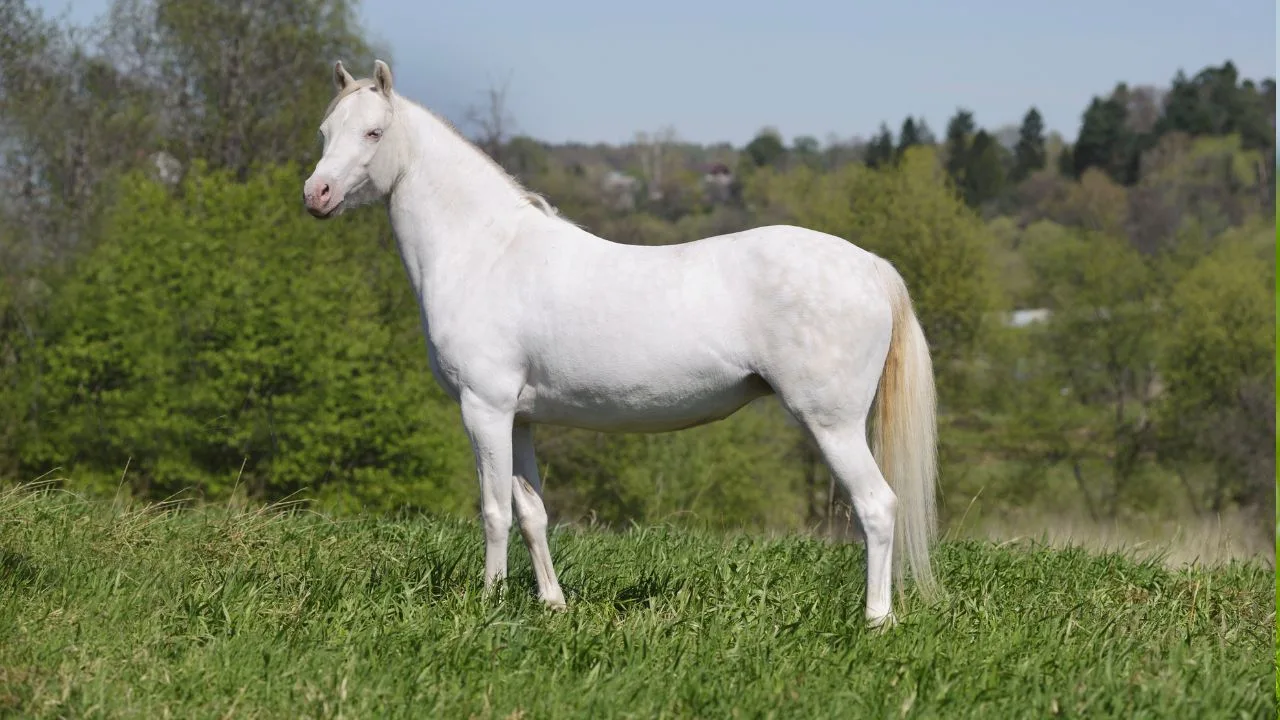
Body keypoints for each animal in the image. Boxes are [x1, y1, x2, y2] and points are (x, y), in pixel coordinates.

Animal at [302, 60, 939, 627]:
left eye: (374, 132)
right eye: (325, 131)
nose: (317, 194)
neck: (487, 251)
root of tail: (870, 266)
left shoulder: (484, 409)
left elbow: (493, 512)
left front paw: (487, 603)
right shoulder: (519, 417)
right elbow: (531, 512)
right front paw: (551, 604)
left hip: (832, 424)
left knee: (878, 507)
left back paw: (876, 619)